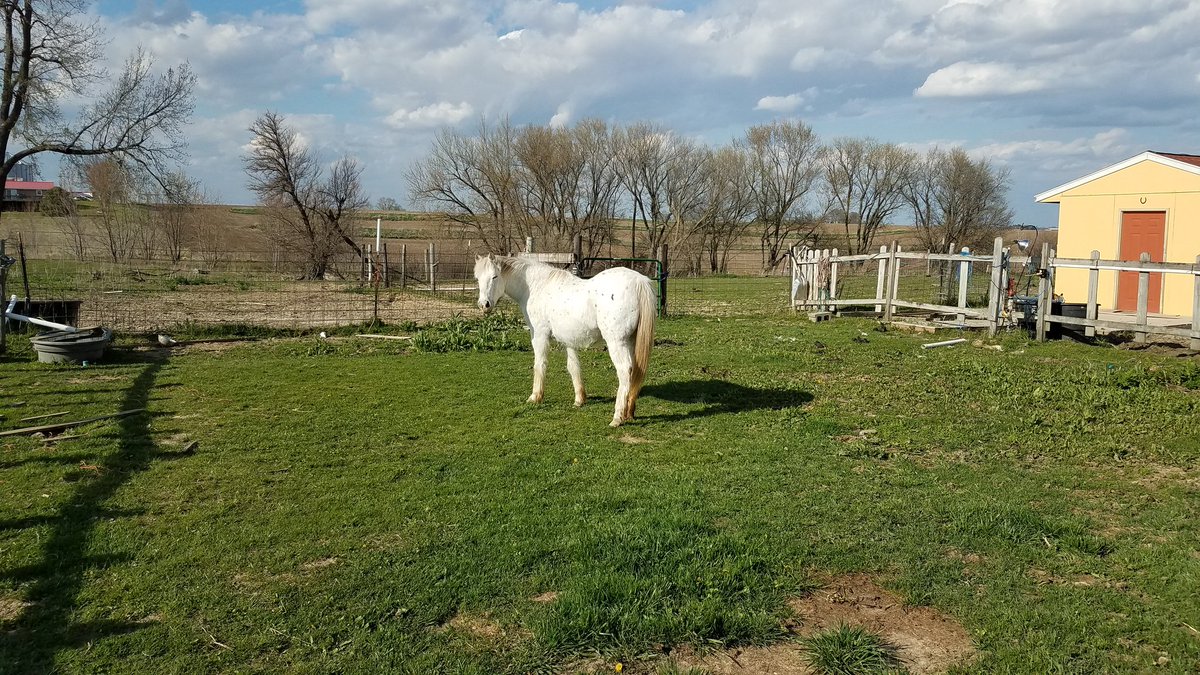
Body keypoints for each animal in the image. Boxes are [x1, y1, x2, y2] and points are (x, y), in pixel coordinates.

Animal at [473, 254, 656, 427]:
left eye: (494, 276)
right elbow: (573, 367)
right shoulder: (567, 340)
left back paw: (617, 417)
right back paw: (629, 412)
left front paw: (535, 397)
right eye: (477, 278)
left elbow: (540, 365)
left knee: (625, 371)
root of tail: (639, 281)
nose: (484, 305)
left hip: (617, 343)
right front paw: (579, 400)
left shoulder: (539, 335)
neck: (536, 286)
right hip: (630, 342)